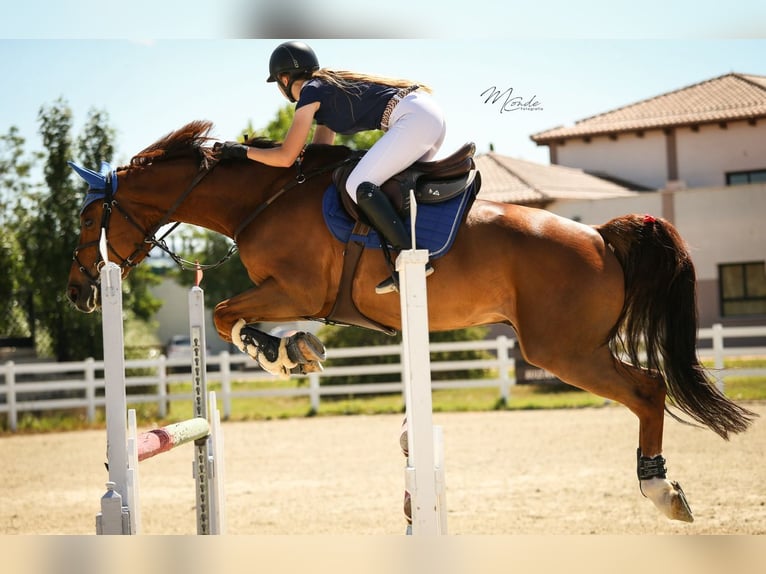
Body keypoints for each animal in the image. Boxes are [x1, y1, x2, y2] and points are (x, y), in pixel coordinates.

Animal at [64, 121, 756, 528]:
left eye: (89, 218)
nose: (77, 293)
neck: (262, 198)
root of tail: (602, 237)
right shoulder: (293, 294)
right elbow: (225, 313)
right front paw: (295, 350)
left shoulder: (295, 290)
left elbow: (224, 313)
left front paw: (288, 353)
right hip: (569, 349)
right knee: (649, 388)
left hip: (562, 350)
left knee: (648, 389)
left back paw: (660, 490)